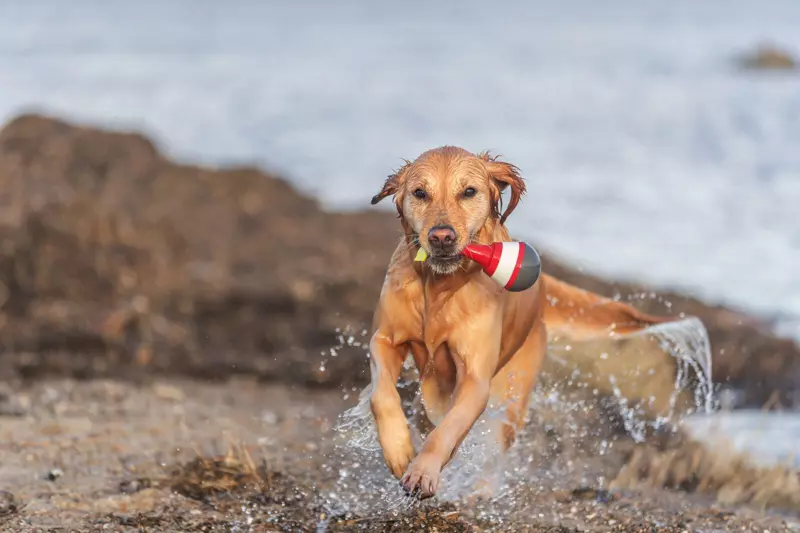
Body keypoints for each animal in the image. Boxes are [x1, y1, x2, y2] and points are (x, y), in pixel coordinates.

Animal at [368, 147, 668, 498]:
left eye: (468, 192)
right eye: (419, 193)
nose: (442, 237)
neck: (438, 289)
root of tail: (542, 286)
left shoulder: (475, 379)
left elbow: (448, 429)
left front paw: (423, 470)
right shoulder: (385, 340)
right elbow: (381, 395)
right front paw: (399, 450)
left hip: (514, 395)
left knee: (493, 445)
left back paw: (481, 491)